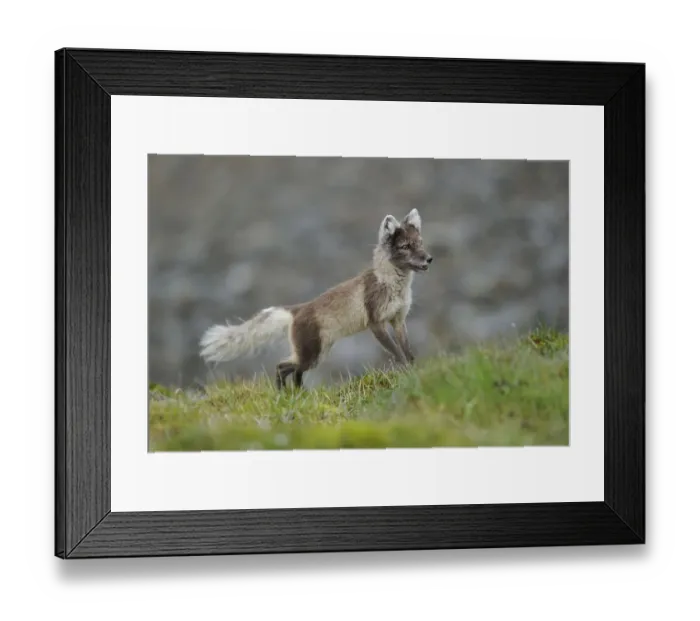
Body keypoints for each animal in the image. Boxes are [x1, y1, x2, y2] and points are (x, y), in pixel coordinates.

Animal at [199, 208, 432, 390]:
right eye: (405, 246)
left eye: (420, 243)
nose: (429, 258)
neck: (392, 284)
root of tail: (297, 309)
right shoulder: (376, 323)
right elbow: (397, 353)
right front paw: (406, 372)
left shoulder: (398, 320)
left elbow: (408, 351)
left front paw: (414, 370)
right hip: (311, 355)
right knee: (281, 367)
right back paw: (283, 395)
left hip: (316, 354)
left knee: (294, 372)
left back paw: (299, 395)